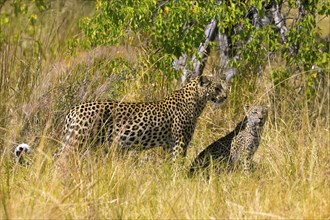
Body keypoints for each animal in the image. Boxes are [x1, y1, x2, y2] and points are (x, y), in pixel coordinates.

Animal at [57, 76, 227, 161]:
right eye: (217, 87)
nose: (226, 96)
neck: (198, 101)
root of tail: (74, 109)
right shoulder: (180, 142)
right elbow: (178, 163)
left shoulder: (169, 144)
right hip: (79, 141)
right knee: (62, 160)